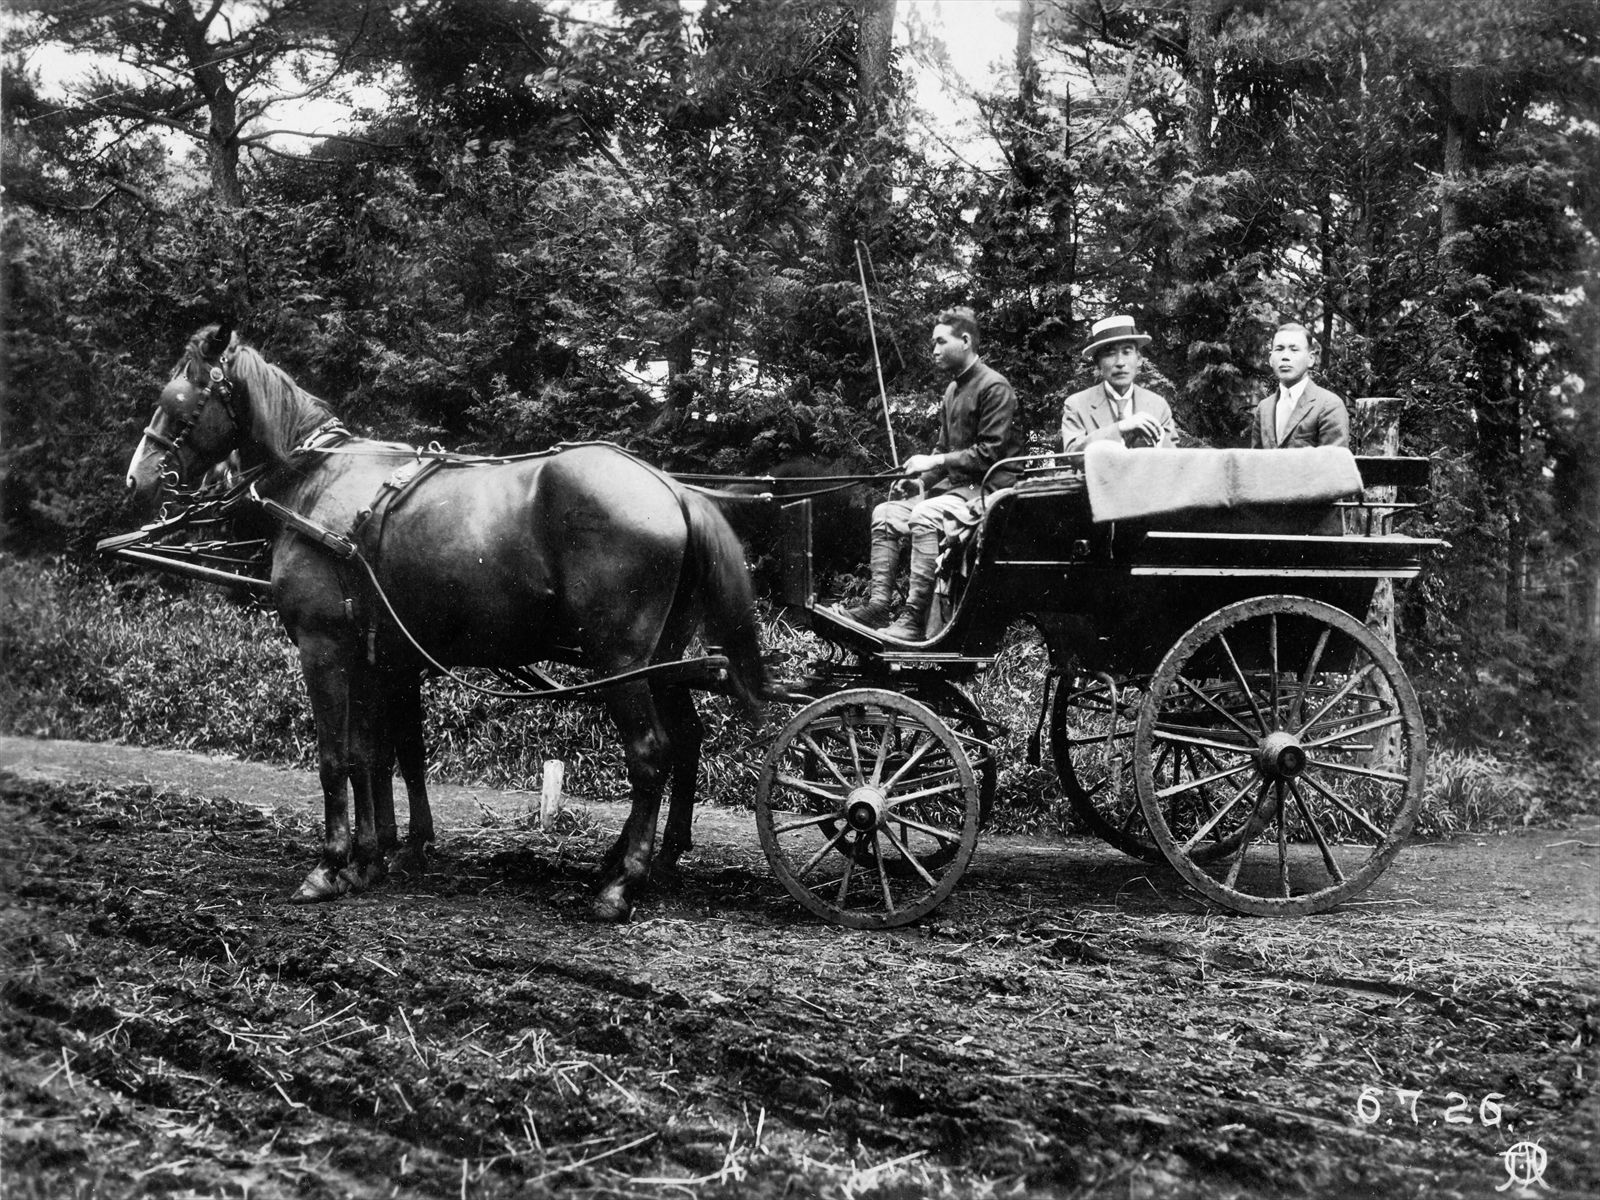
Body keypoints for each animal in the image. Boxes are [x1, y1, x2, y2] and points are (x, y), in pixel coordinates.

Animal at [124, 321, 761, 921]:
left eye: (178, 398)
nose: (139, 479)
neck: (319, 483)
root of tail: (672, 488)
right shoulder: (379, 655)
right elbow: (376, 754)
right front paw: (371, 859)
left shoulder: (323, 646)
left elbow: (335, 757)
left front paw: (330, 866)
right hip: (663, 659)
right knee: (686, 740)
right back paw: (654, 860)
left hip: (621, 662)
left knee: (650, 754)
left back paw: (622, 884)